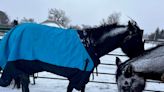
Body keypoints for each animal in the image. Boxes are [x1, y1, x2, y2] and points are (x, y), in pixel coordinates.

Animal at [0, 20, 144, 91]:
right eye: (137, 39)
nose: (142, 56)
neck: (91, 43)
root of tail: (13, 31)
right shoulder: (76, 78)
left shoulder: (81, 79)